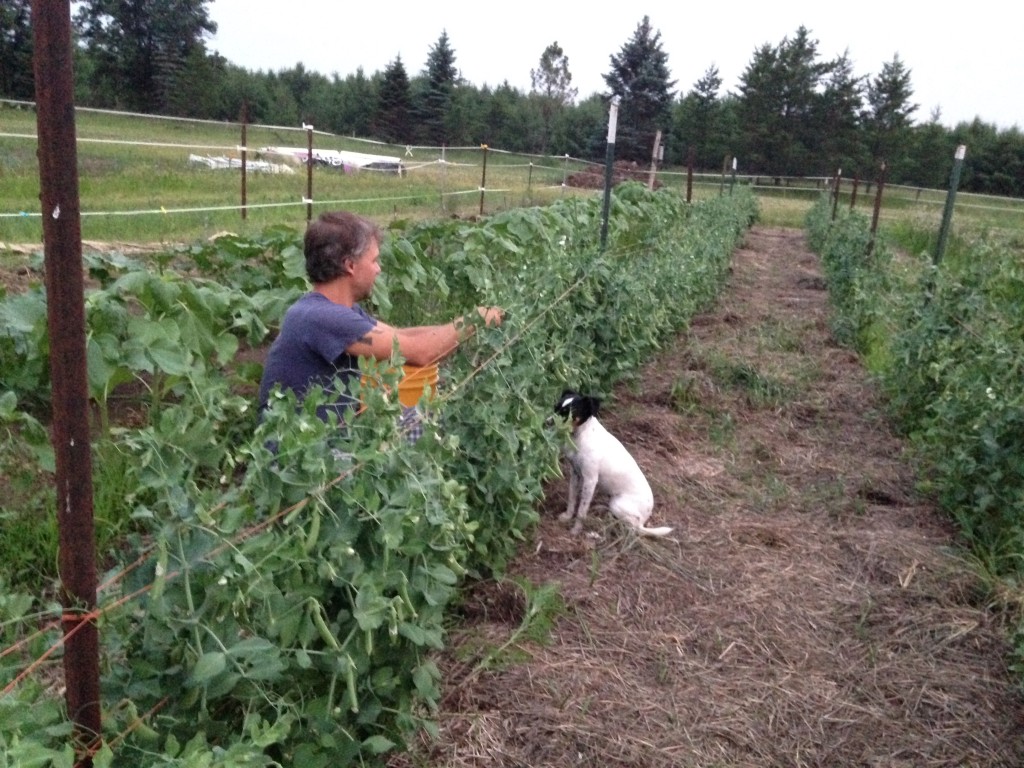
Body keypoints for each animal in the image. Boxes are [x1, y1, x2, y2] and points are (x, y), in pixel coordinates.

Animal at [552, 387, 671, 536]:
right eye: (555, 408)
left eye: (569, 414)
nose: (548, 422)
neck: (581, 436)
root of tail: (644, 520)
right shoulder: (575, 473)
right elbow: (572, 499)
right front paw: (567, 517)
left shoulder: (590, 480)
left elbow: (582, 510)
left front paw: (576, 529)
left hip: (618, 505)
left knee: (632, 529)